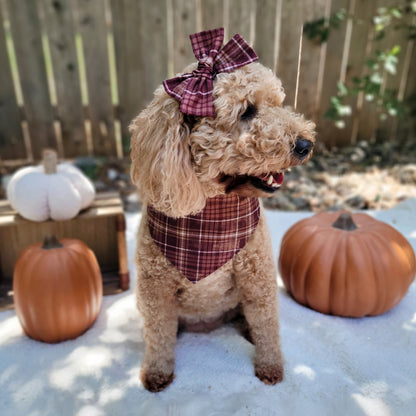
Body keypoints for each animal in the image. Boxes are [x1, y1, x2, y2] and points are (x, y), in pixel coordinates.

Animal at [130, 27, 316, 392]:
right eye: (246, 112)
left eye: (277, 104)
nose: (305, 144)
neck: (213, 212)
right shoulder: (155, 290)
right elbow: (158, 335)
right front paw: (157, 372)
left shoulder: (257, 278)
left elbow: (267, 326)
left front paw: (270, 366)